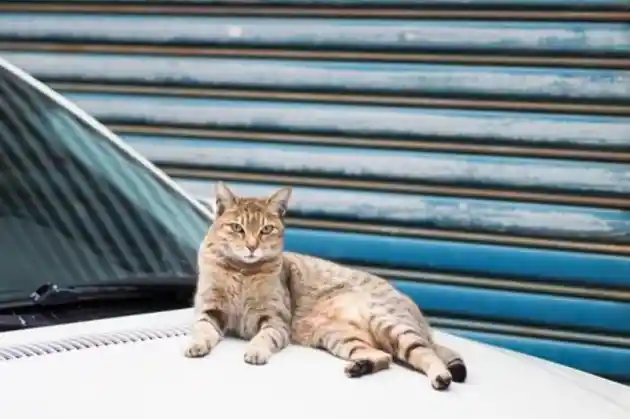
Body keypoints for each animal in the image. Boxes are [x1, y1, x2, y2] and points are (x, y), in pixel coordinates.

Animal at [184, 182, 470, 392]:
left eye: (266, 230)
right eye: (237, 228)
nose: (252, 246)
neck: (242, 270)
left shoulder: (275, 320)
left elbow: (263, 338)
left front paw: (255, 350)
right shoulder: (210, 311)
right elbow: (203, 331)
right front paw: (196, 345)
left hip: (392, 325)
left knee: (426, 354)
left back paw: (440, 376)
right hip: (340, 337)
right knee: (383, 357)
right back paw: (360, 366)